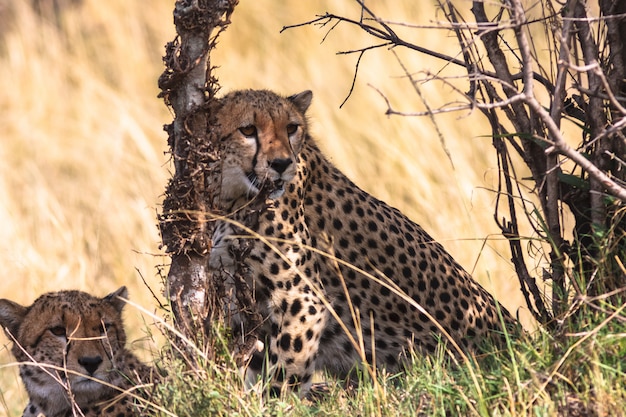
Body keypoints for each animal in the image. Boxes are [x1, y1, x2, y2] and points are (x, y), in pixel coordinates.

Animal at [207, 88, 516, 394]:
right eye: (248, 129)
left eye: (291, 128)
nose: (281, 164)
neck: (232, 194)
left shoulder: (302, 299)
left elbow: (284, 375)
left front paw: (275, 401)